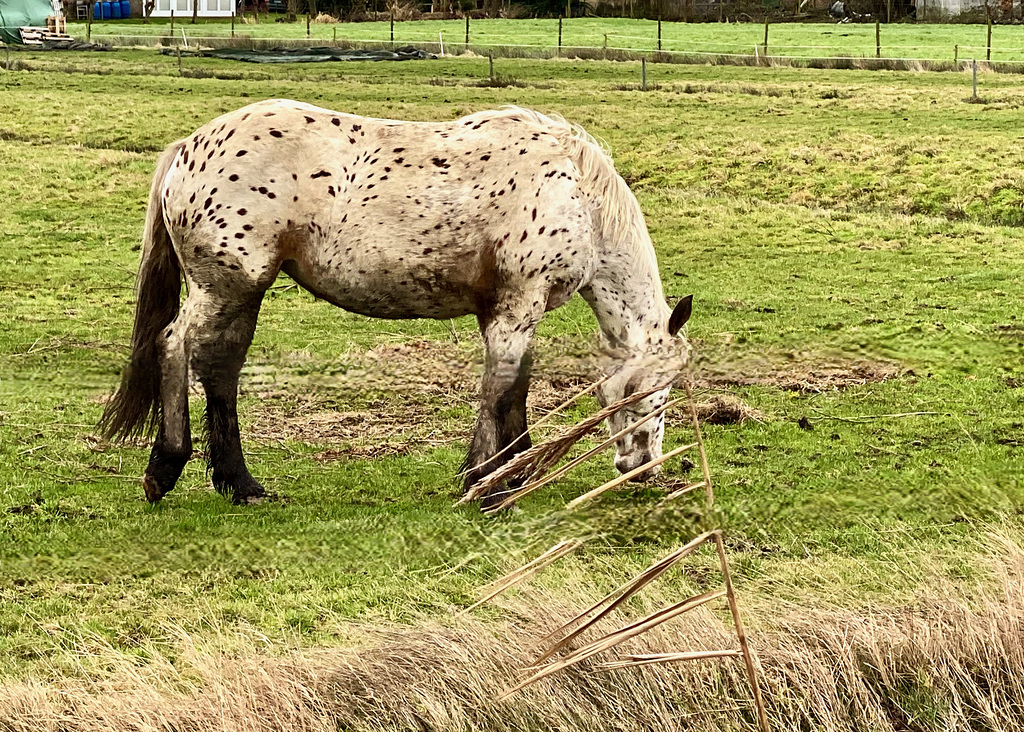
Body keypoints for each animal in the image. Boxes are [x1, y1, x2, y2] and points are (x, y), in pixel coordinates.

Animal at [99, 98, 692, 509]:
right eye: (652, 393)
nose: (642, 467)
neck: (577, 194)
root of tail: (188, 147)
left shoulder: (503, 312)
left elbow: (511, 389)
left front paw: (507, 471)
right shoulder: (518, 305)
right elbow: (502, 388)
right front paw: (489, 482)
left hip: (241, 293)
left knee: (221, 368)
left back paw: (240, 484)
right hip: (224, 287)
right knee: (174, 346)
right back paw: (166, 468)